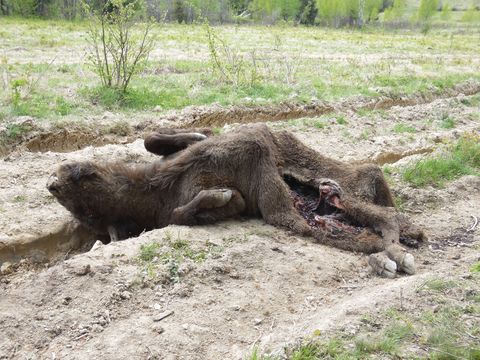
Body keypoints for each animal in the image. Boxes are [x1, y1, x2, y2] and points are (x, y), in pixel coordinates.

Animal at [47, 122, 424, 278]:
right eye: (83, 210)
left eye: (78, 186)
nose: (52, 182)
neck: (152, 188)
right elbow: (191, 210)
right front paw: (219, 194)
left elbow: (151, 138)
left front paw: (200, 135)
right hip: (288, 208)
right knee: (372, 221)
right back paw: (392, 255)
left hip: (313, 167)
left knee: (373, 182)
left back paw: (405, 238)